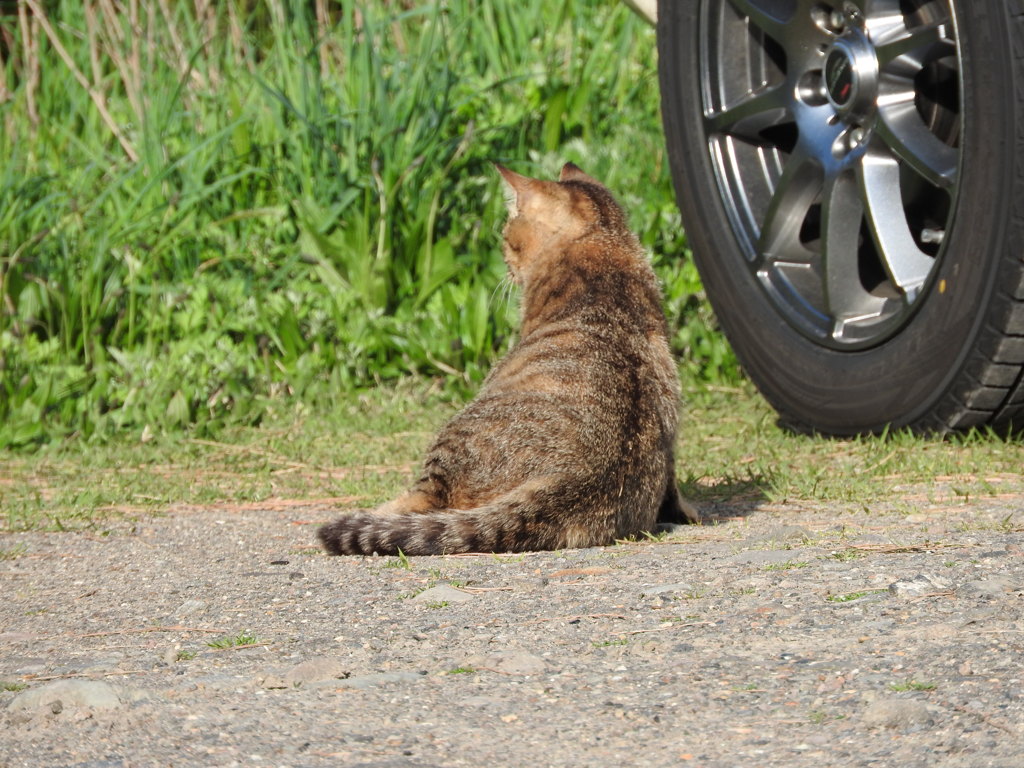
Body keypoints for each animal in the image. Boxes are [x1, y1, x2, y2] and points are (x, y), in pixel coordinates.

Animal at [315, 163, 700, 561]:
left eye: (505, 236)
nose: (504, 260)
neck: (601, 244)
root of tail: (573, 479)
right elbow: (673, 484)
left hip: (451, 442)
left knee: (423, 500)